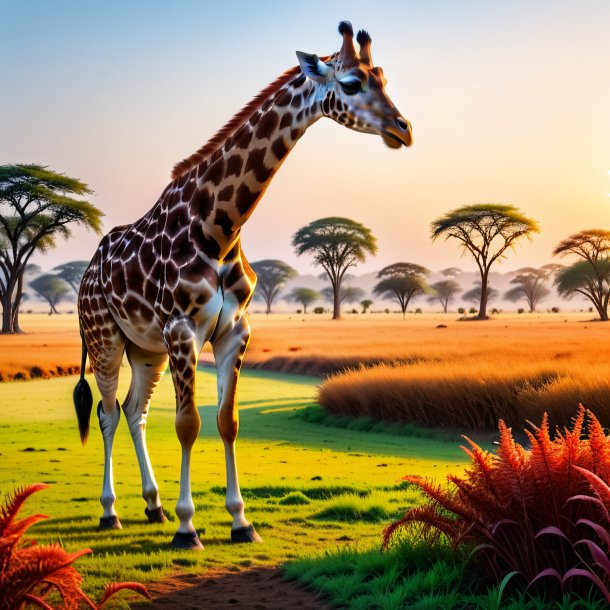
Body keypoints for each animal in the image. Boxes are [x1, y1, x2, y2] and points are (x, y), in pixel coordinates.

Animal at [73, 21, 410, 548]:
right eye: (352, 83)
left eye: (384, 79)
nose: (403, 129)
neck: (220, 226)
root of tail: (86, 273)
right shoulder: (182, 331)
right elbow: (187, 424)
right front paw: (188, 527)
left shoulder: (234, 330)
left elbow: (226, 423)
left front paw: (240, 521)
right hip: (105, 338)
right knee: (107, 414)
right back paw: (112, 512)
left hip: (144, 348)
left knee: (133, 410)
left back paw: (152, 506)